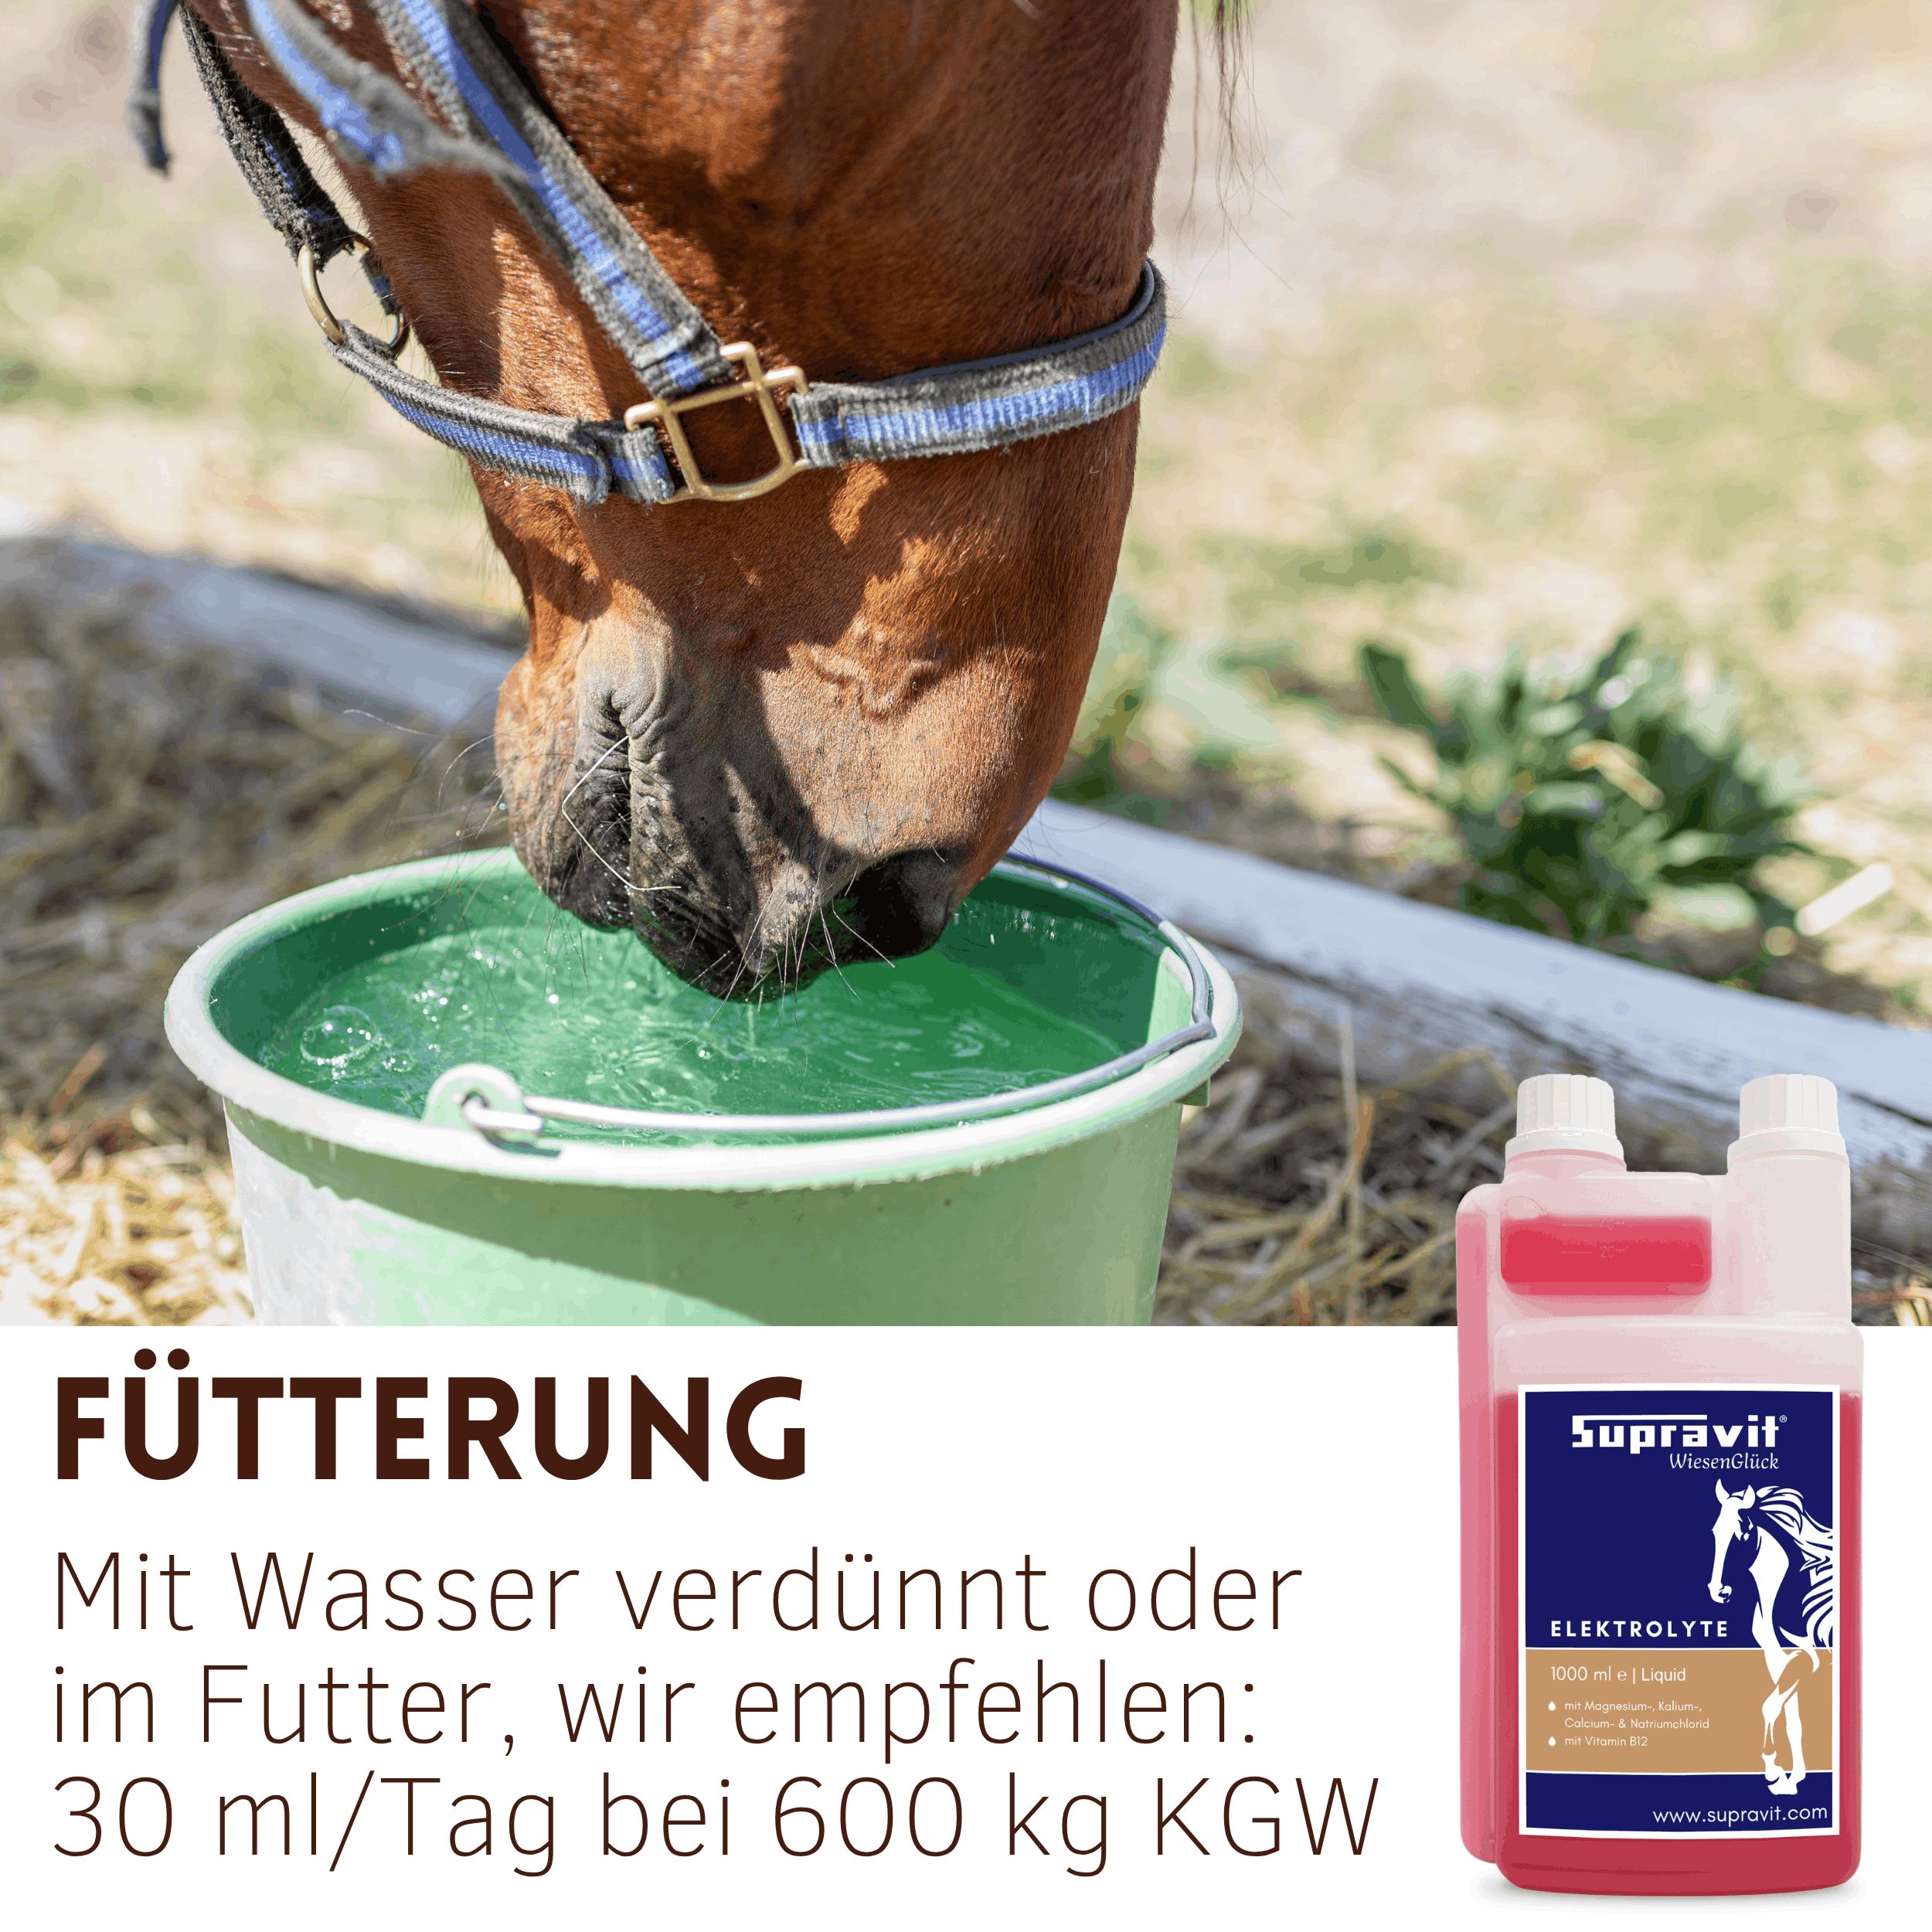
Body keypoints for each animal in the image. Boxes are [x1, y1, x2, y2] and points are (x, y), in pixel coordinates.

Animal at [1707, 1480, 1836, 1794]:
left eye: (1743, 1534)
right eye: (1715, 1531)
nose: (1719, 1591)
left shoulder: (1808, 1659)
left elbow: (1769, 1707)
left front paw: (1774, 1769)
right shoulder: (1779, 1661)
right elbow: (1792, 1720)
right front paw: (1793, 1777)